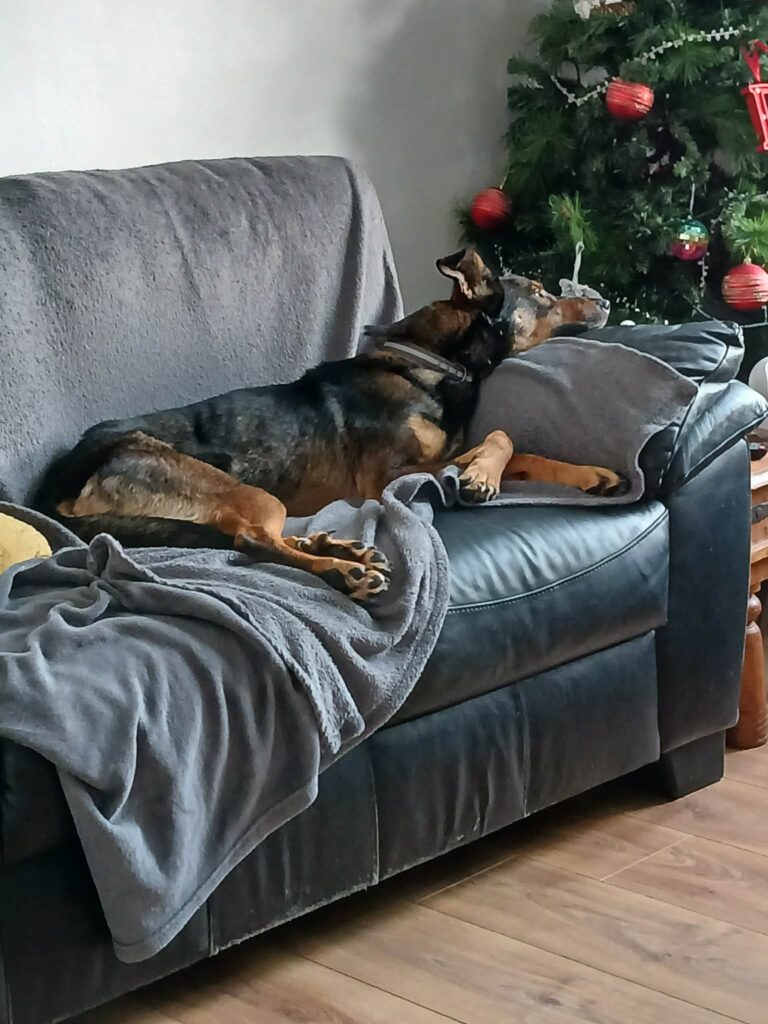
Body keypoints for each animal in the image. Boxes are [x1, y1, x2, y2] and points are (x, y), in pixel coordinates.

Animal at [36, 250, 621, 601]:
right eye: (542, 294)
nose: (607, 299)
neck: (430, 364)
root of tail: (57, 483)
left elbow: (520, 448)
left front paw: (591, 475)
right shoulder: (388, 477)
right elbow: (501, 438)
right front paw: (482, 477)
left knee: (264, 537)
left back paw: (339, 548)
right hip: (236, 489)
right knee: (252, 539)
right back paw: (343, 571)